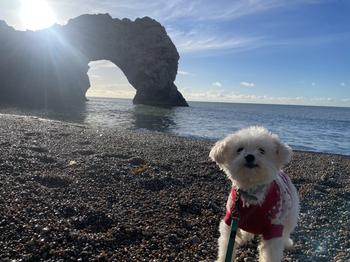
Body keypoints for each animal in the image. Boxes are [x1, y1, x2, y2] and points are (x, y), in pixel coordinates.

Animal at [209, 127, 300, 262]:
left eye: (261, 150)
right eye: (240, 149)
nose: (249, 156)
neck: (251, 191)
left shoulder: (274, 228)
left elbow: (271, 254)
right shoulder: (230, 221)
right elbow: (226, 248)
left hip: (290, 215)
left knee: (286, 232)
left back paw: (287, 242)